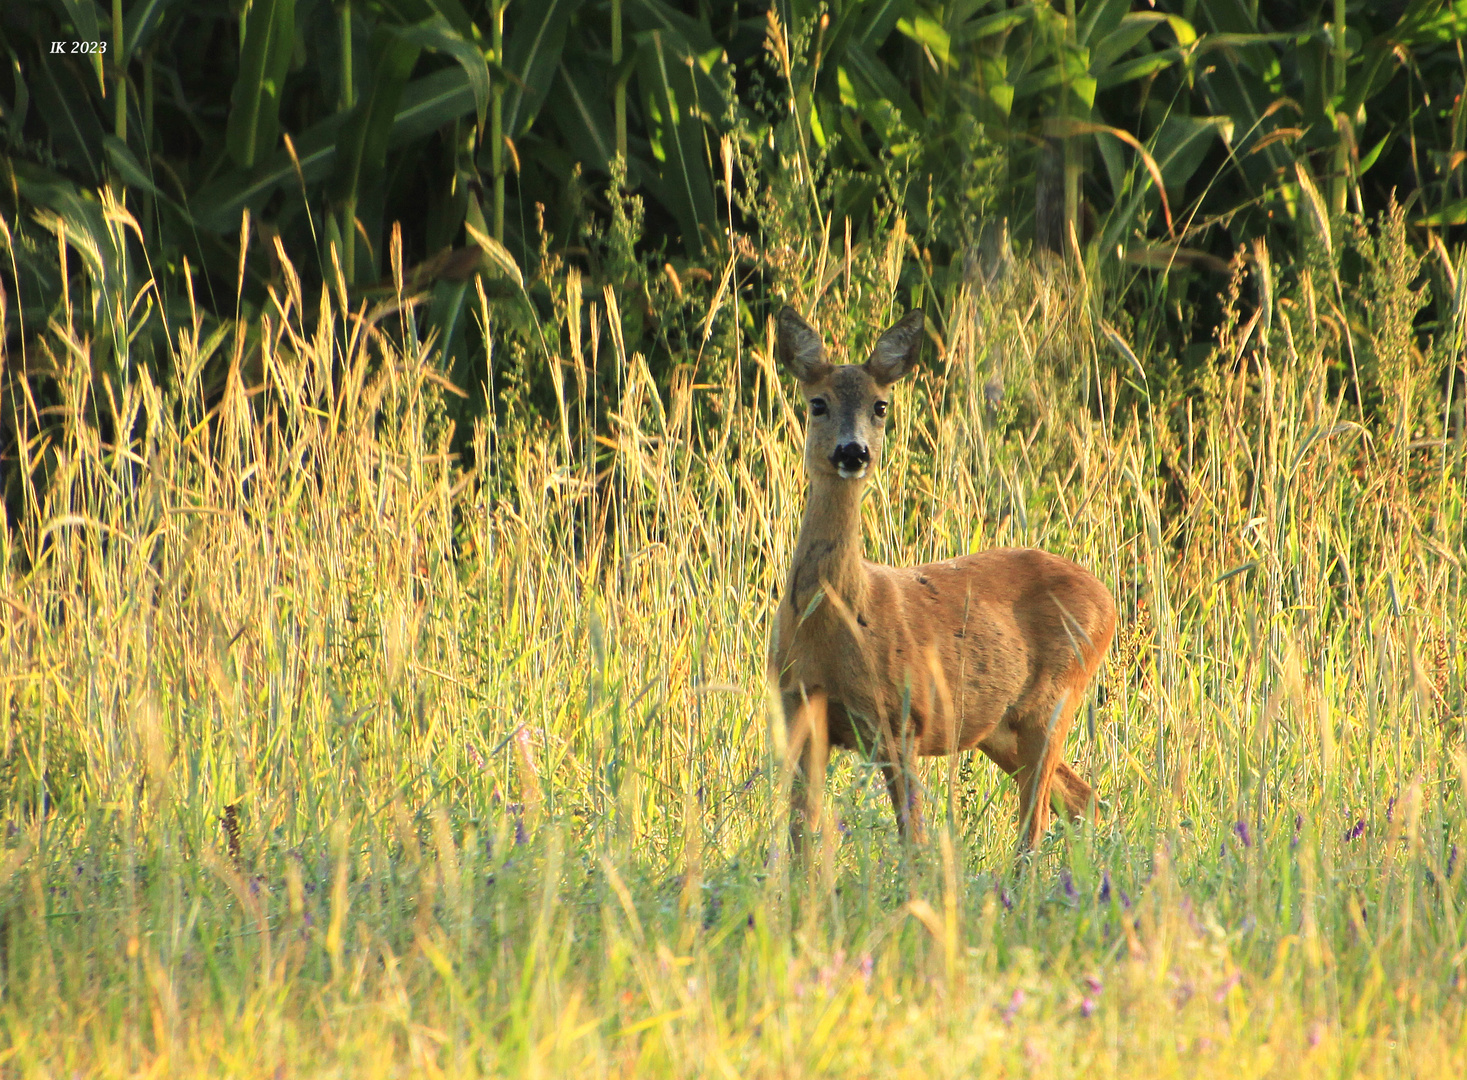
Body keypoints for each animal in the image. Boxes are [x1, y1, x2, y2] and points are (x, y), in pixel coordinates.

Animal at [768, 305, 1109, 851]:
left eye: (881, 406)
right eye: (817, 403)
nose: (853, 452)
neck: (834, 621)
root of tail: (1108, 598)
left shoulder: (902, 717)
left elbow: (915, 840)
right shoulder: (799, 708)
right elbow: (803, 831)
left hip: (1055, 699)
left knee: (1036, 819)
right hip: (999, 728)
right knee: (1083, 799)